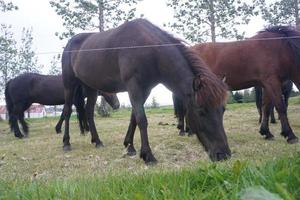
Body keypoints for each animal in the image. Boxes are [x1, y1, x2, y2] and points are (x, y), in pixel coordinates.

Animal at [61, 18, 230, 164]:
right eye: (201, 112)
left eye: (222, 110)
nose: (224, 154)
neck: (146, 48)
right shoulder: (133, 86)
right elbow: (142, 119)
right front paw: (148, 155)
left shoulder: (145, 89)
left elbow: (134, 118)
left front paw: (130, 147)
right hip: (69, 85)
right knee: (68, 111)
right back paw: (66, 143)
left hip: (91, 88)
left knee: (89, 112)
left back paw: (97, 141)